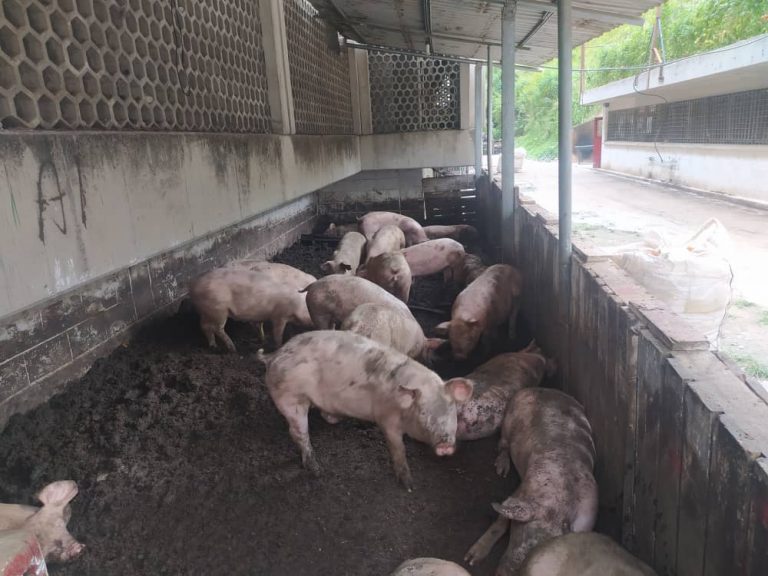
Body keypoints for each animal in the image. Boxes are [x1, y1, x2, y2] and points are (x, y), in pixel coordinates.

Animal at [257, 330, 473, 489]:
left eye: (451, 409)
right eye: (423, 413)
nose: (445, 444)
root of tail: (275, 355)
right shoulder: (387, 419)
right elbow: (398, 448)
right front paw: (408, 485)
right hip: (290, 398)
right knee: (298, 433)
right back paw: (316, 470)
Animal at [465, 388, 598, 576]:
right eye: (521, 535)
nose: (504, 572)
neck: (558, 508)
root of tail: (544, 389)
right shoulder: (521, 491)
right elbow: (501, 519)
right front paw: (470, 559)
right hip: (508, 420)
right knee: (503, 444)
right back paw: (502, 469)